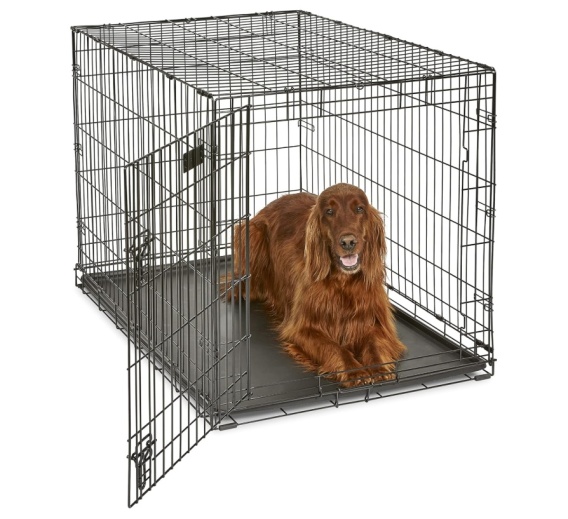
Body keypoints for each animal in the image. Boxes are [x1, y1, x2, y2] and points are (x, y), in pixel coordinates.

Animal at [226, 183, 406, 387]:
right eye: (329, 211)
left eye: (360, 209)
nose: (348, 242)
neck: (342, 282)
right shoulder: (302, 329)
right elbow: (334, 348)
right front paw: (354, 371)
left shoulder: (375, 322)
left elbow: (374, 344)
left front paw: (378, 369)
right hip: (251, 233)